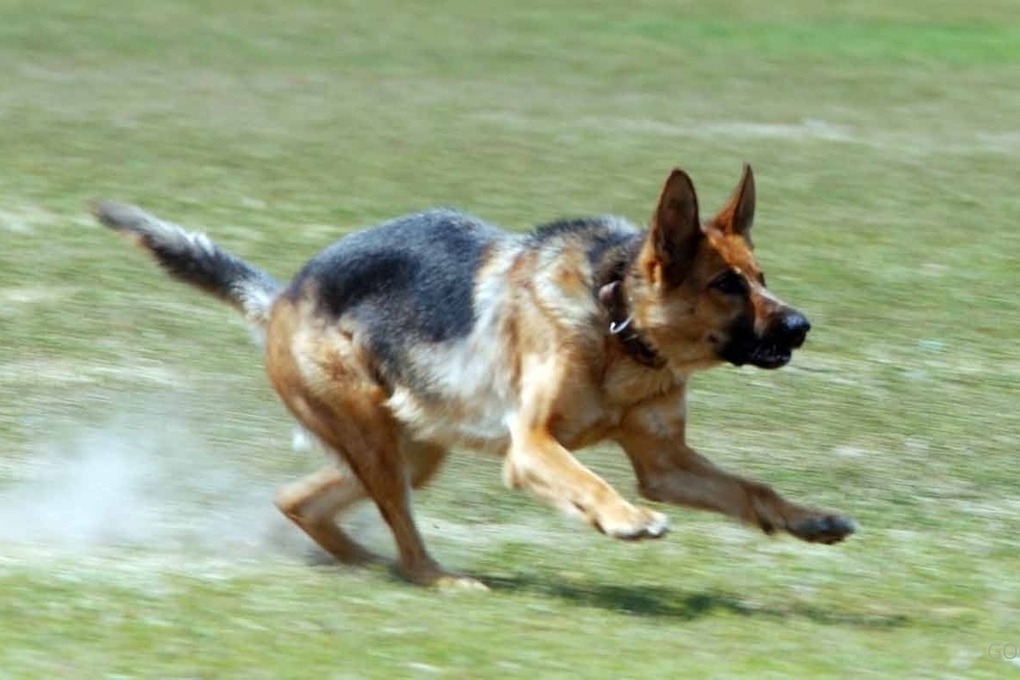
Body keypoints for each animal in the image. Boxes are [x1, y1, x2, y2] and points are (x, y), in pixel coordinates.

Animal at [95, 166, 856, 591]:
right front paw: (624, 519)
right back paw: (436, 579)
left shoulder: (665, 463)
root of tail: (283, 294)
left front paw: (808, 519)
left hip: (411, 450)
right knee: (400, 538)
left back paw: (361, 562)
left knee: (298, 501)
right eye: (727, 285)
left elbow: (750, 490)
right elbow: (589, 480)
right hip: (377, 442)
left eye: (761, 277)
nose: (802, 327)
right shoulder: (532, 447)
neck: (616, 324)